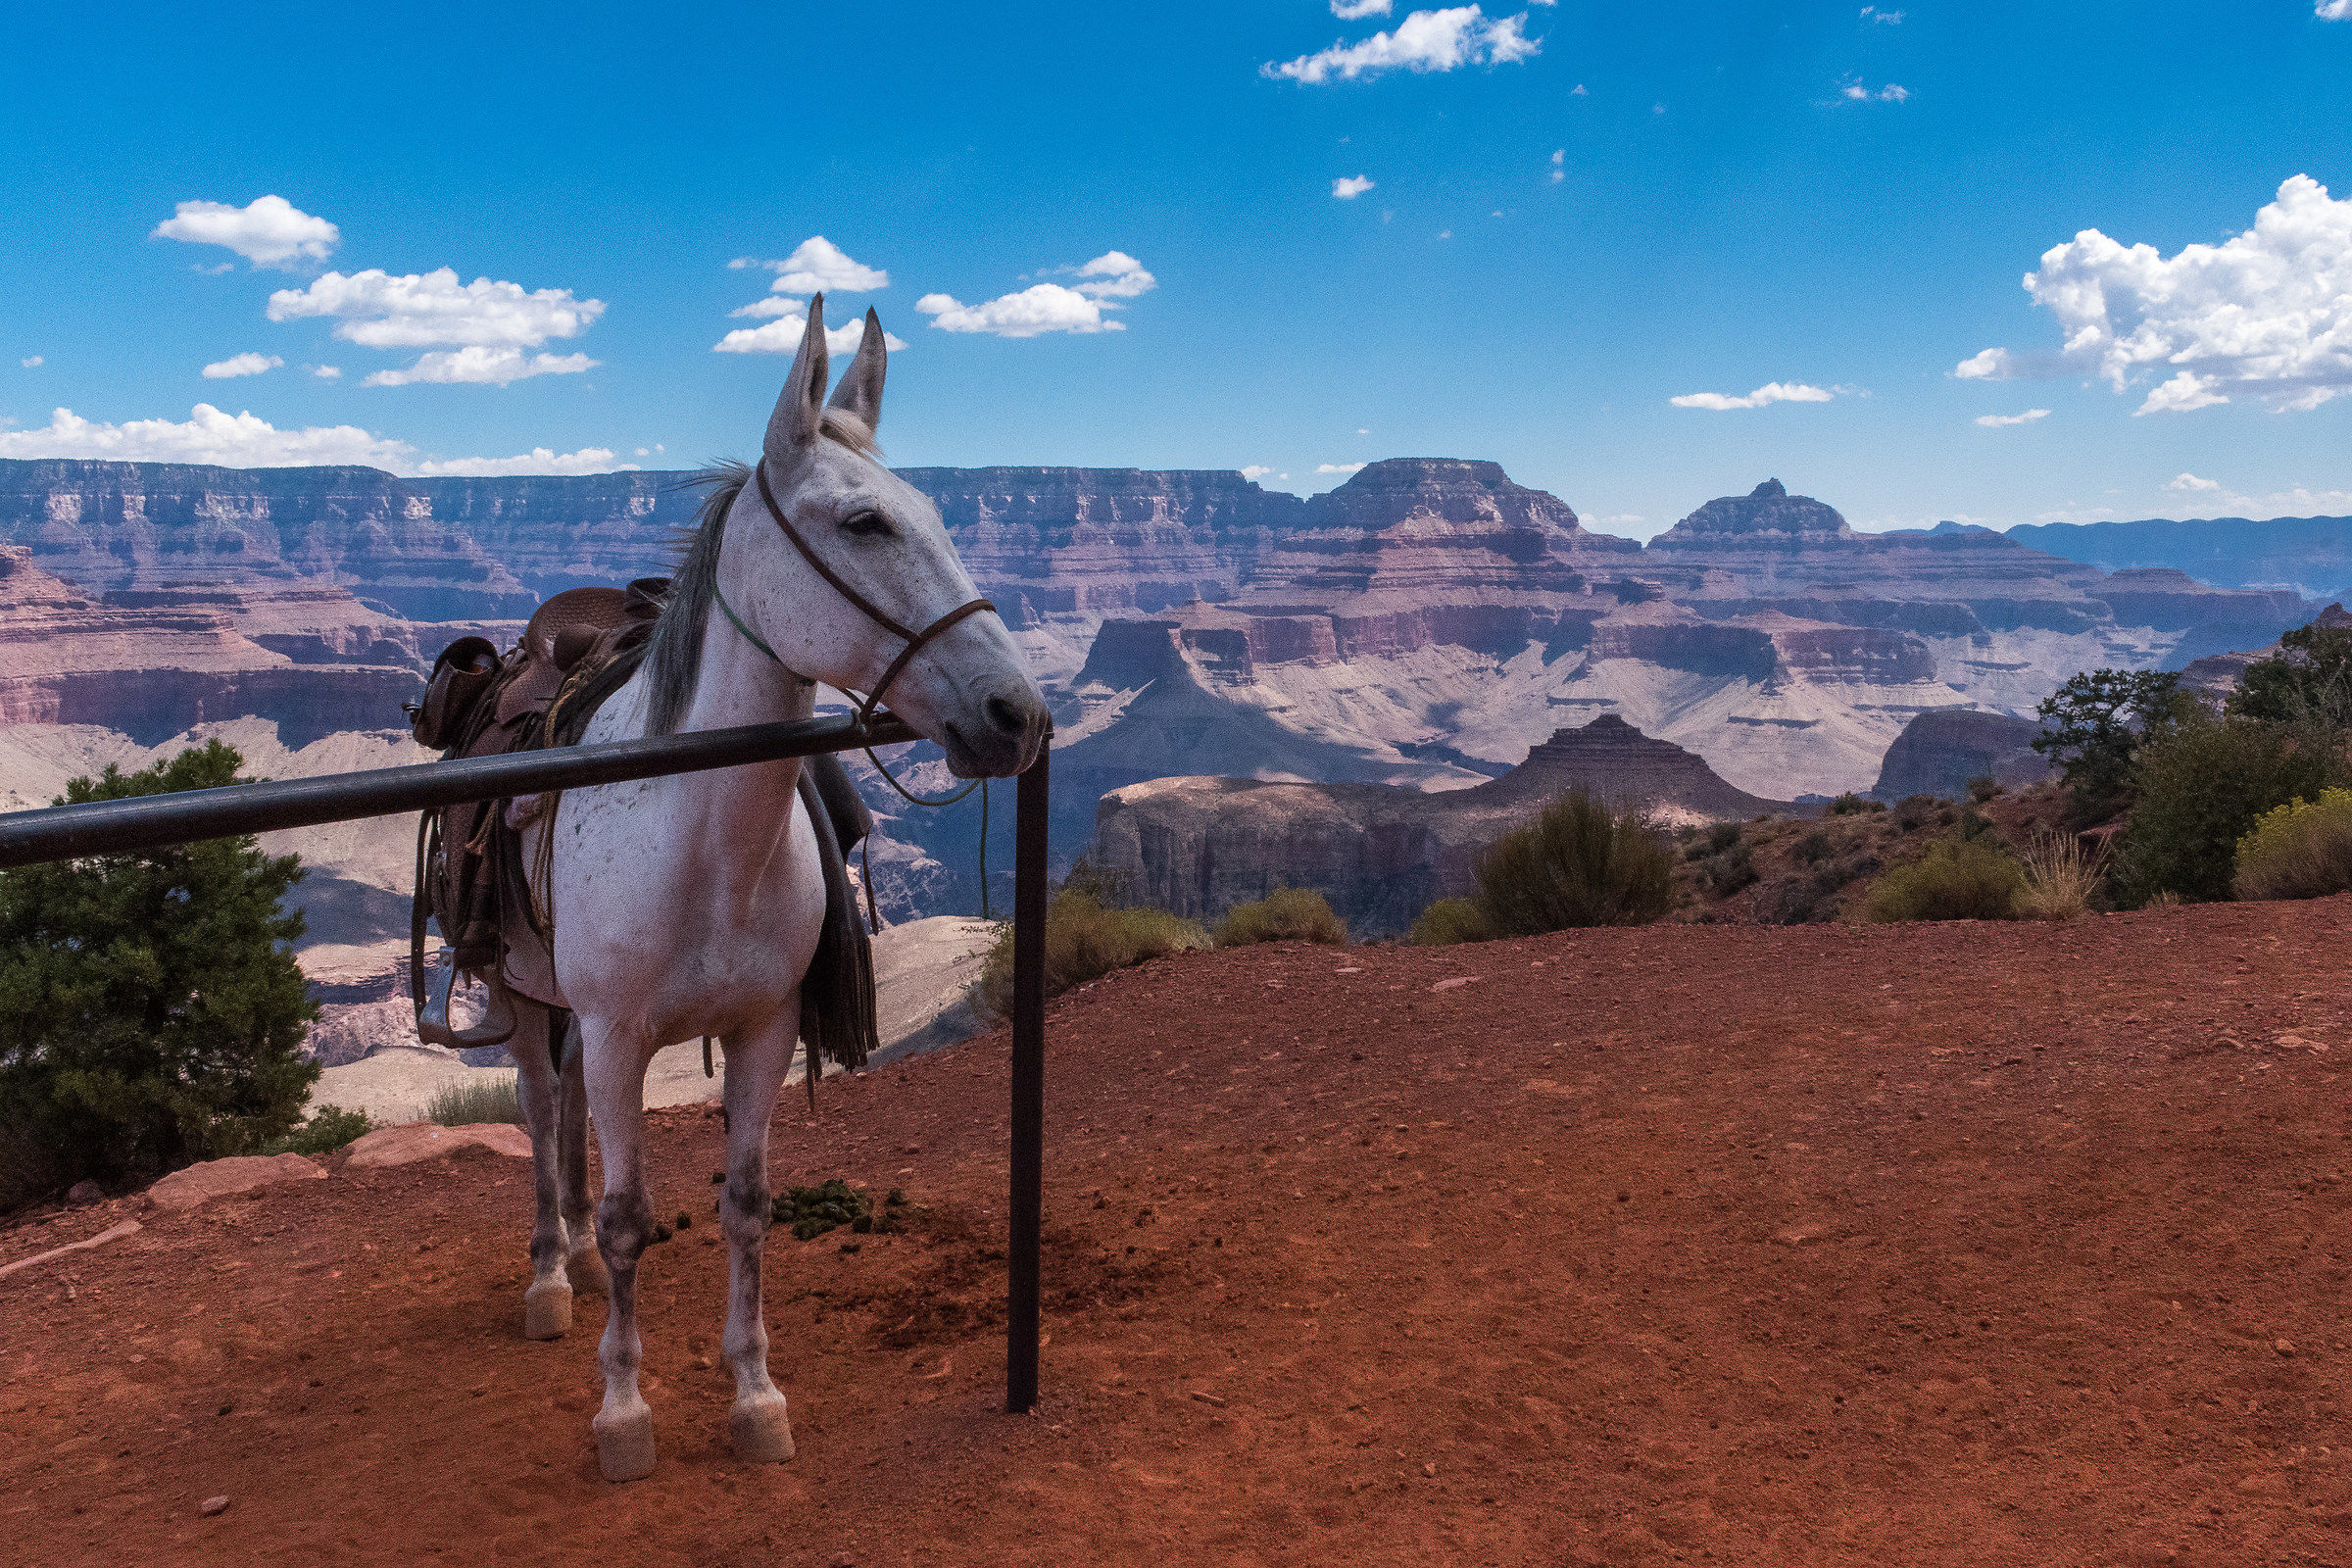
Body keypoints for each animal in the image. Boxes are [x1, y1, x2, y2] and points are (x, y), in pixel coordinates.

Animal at [486, 297, 1049, 1482]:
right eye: (865, 523)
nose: (1019, 714)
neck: (702, 843)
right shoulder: (619, 1032)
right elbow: (629, 1212)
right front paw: (624, 1412)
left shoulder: (765, 1028)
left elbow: (745, 1205)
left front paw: (754, 1394)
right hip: (516, 995)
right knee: (542, 1109)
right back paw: (553, 1272)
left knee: (568, 1114)